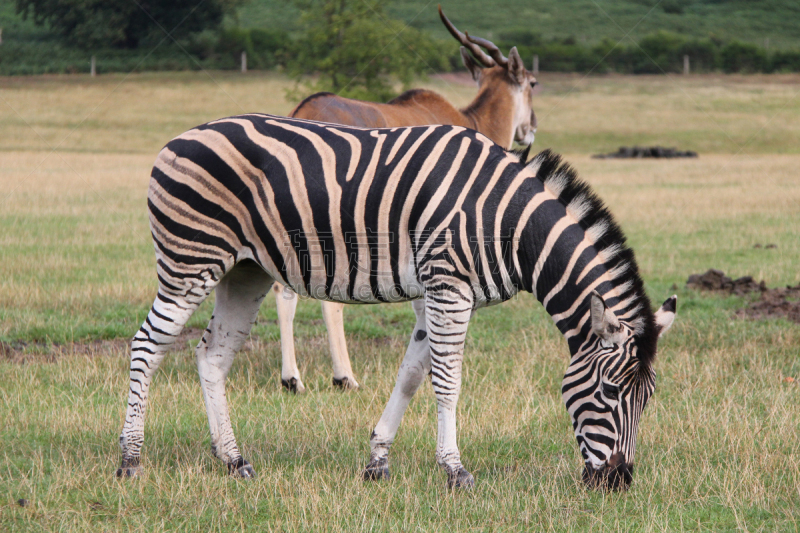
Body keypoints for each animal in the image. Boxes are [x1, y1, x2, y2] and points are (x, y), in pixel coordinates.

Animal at [117, 113, 676, 490]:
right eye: (609, 393)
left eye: (647, 399)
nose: (619, 482)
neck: (507, 223)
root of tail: (180, 137)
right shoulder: (449, 285)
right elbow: (447, 381)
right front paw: (454, 470)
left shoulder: (437, 293)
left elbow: (412, 374)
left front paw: (378, 461)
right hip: (191, 260)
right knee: (147, 345)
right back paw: (130, 460)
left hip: (244, 270)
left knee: (211, 356)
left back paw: (233, 460)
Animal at [272, 6, 540, 392]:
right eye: (532, 83)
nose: (530, 128)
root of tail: (301, 114)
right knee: (329, 299)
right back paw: (344, 376)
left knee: (284, 288)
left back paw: (292, 379)